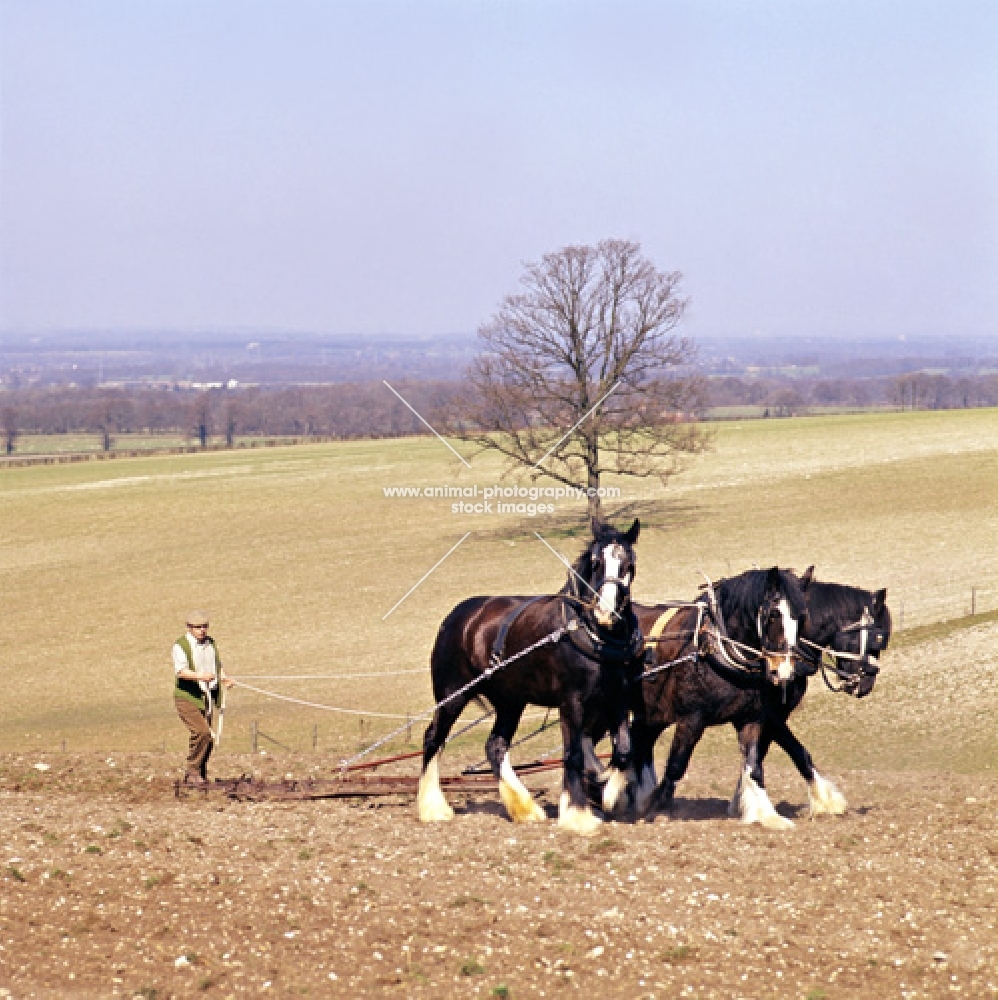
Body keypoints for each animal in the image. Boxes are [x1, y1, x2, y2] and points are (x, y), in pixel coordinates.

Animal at [418, 520, 644, 832]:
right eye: (596, 562)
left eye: (629, 564)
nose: (606, 611)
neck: (592, 633)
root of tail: (457, 617)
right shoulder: (571, 702)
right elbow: (573, 753)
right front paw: (577, 814)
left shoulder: (617, 698)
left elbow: (623, 750)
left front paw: (610, 794)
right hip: (453, 695)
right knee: (433, 738)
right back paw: (433, 807)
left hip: (510, 702)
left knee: (495, 746)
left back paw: (525, 808)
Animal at [628, 568, 896, 832]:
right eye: (876, 639)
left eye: (802, 619)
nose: (865, 685)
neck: (718, 647)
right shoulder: (702, 717)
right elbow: (679, 763)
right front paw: (658, 810)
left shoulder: (757, 716)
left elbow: (757, 760)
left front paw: (752, 806)